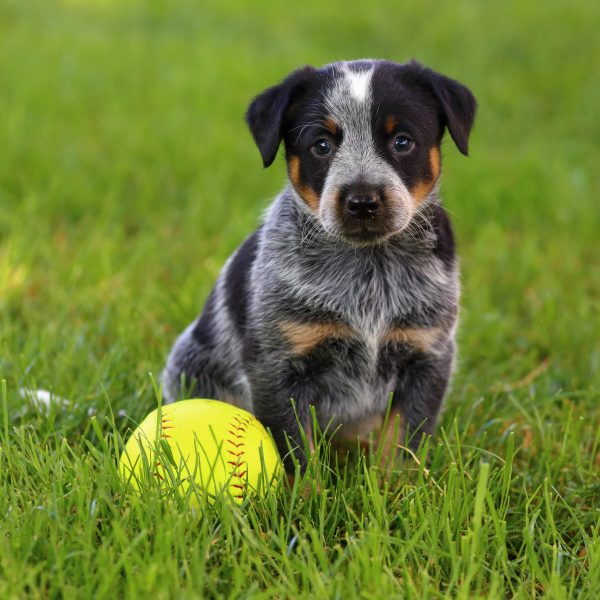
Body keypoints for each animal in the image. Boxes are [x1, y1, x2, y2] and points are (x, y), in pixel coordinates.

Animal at [163, 61, 478, 474]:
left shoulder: (427, 355)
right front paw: (306, 490)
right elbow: (297, 452)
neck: (369, 268)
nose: (362, 201)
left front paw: (396, 487)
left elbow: (402, 444)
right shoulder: (277, 364)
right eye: (322, 146)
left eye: (402, 142)